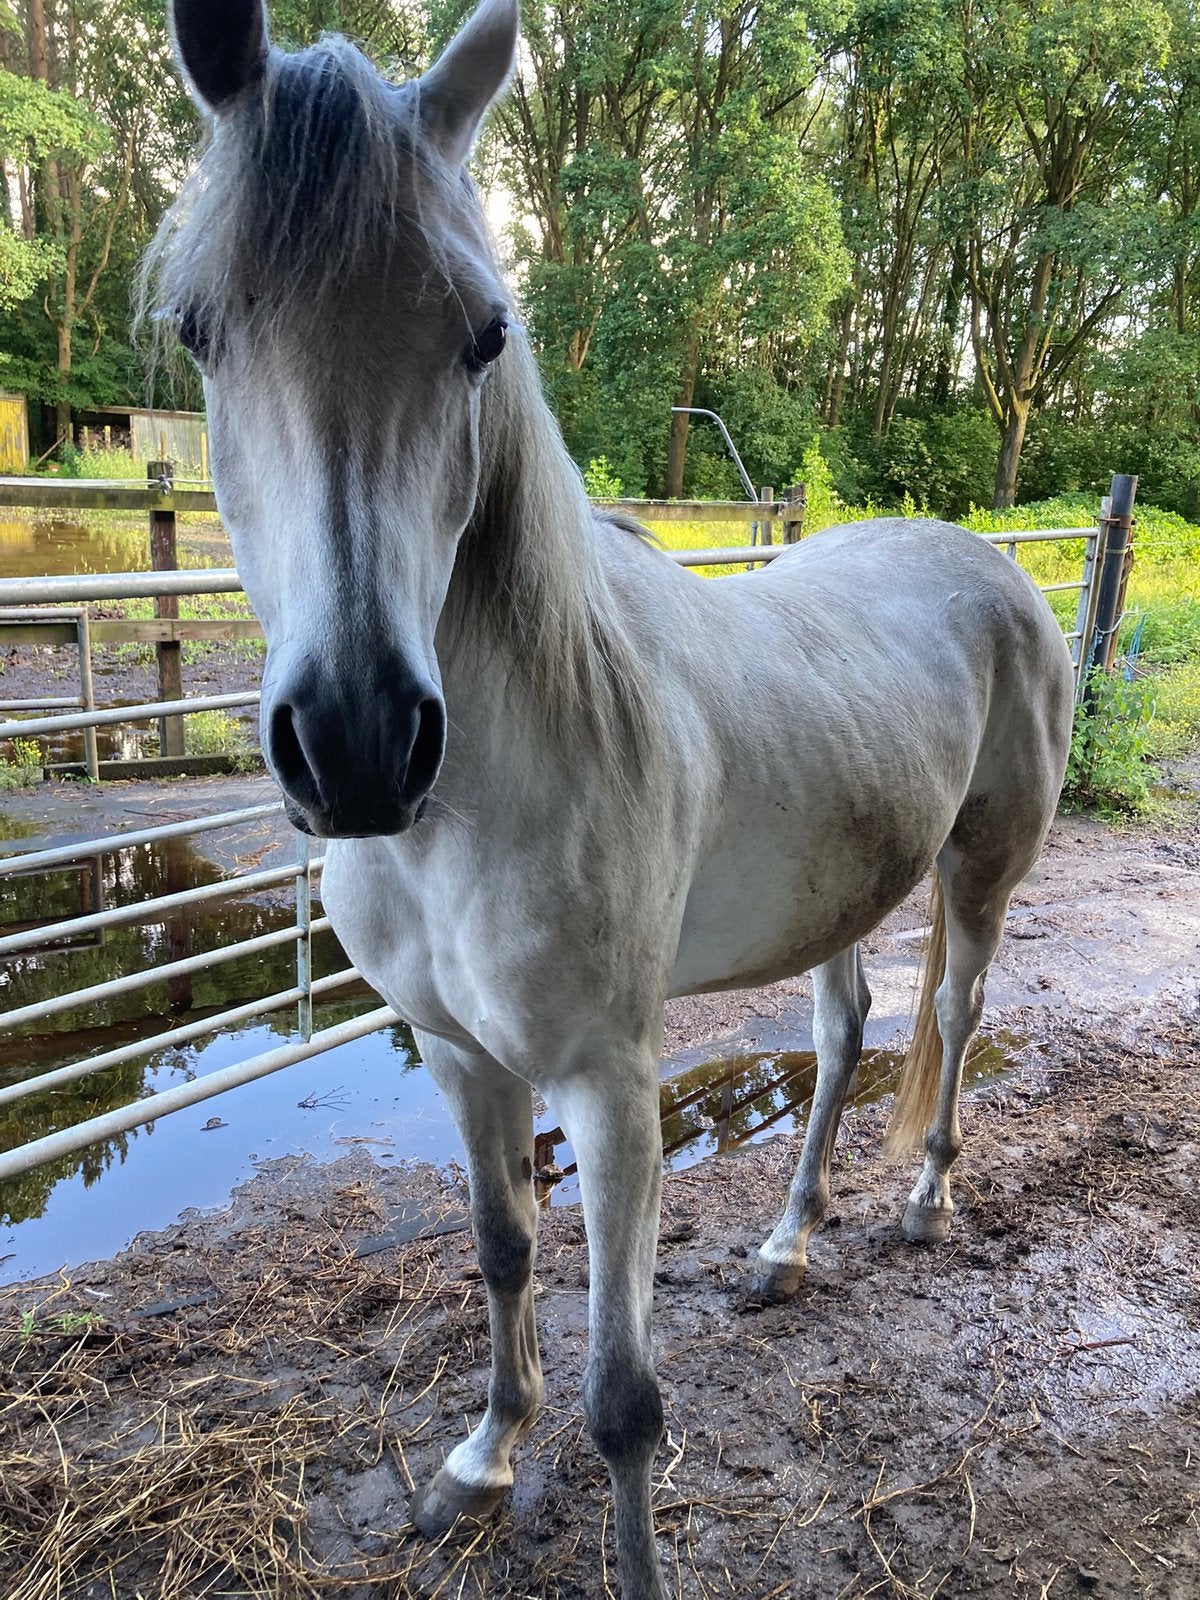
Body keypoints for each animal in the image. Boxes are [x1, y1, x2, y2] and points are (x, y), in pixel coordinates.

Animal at [153, 2, 1074, 1593]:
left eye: (483, 334)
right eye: (202, 328)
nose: (357, 743)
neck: (471, 809)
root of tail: (997, 566)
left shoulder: (608, 1084)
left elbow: (627, 1399)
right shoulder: (462, 1056)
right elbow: (504, 1253)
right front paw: (477, 1461)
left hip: (981, 872)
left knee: (954, 1021)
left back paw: (920, 1203)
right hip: (844, 887)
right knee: (844, 1036)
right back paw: (785, 1246)